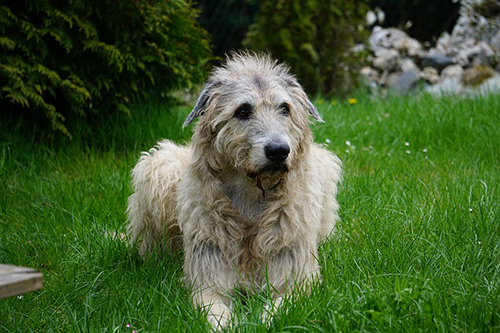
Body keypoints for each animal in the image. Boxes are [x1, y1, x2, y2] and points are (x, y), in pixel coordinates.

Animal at [127, 52, 342, 326]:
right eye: (243, 111)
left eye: (285, 108)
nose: (279, 151)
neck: (252, 195)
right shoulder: (207, 278)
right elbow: (213, 309)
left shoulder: (298, 280)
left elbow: (279, 309)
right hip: (159, 167)